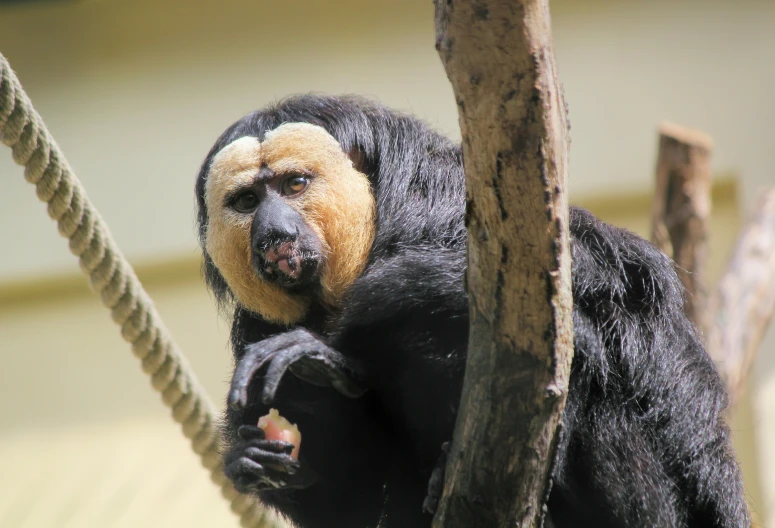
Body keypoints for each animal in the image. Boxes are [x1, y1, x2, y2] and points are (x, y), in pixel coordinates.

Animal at [194, 95, 752, 528]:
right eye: (247, 201)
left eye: (294, 185)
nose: (275, 233)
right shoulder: (255, 324)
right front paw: (259, 453)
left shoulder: (442, 204)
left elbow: (587, 314)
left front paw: (325, 356)